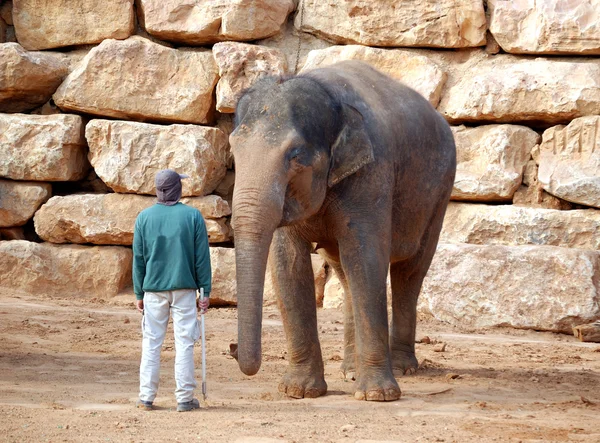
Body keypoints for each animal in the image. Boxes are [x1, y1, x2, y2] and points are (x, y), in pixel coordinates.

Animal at [229, 59, 454, 402]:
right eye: (232, 150)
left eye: (295, 155)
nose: (233, 348)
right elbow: (287, 264)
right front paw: (298, 391)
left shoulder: (372, 173)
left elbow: (366, 257)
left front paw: (378, 396)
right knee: (345, 272)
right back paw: (350, 369)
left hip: (439, 193)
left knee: (410, 272)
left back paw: (402, 368)